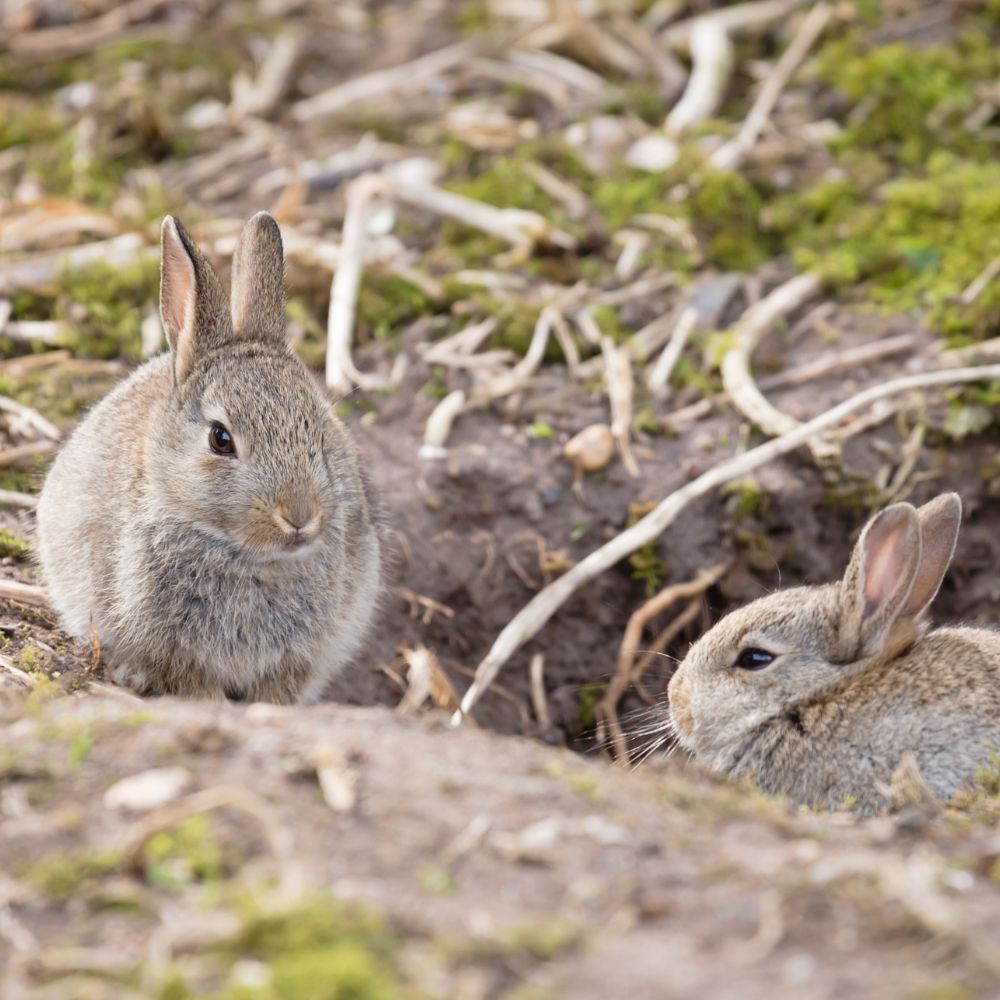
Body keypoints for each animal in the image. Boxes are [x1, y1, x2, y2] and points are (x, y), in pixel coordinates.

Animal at [36, 213, 382, 704]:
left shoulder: (297, 658)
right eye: (221, 439)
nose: (300, 517)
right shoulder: (175, 652)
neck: (246, 555)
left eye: (318, 428)